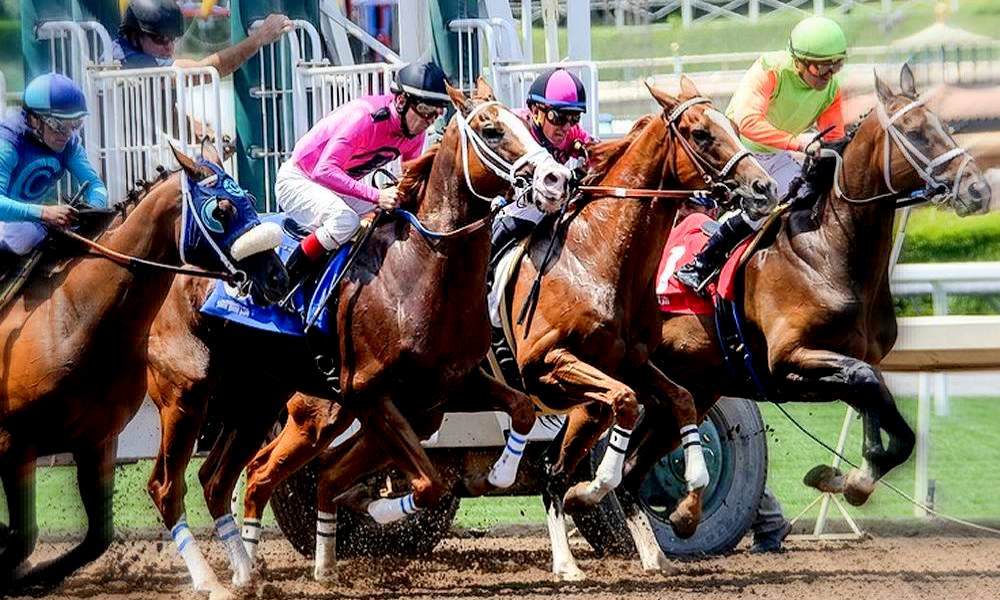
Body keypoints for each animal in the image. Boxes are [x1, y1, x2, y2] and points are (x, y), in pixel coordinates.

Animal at [0, 142, 288, 596]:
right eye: (221, 210)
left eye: (249, 200)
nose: (278, 276)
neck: (69, 318)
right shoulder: (14, 444)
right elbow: (22, 537)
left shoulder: (96, 441)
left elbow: (94, 538)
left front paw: (33, 578)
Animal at [145, 76, 576, 596]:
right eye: (491, 130)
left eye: (524, 123)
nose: (556, 179)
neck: (420, 269)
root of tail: (175, 272)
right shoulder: (369, 393)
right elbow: (428, 484)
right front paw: (381, 509)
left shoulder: (444, 391)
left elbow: (523, 408)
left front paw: (503, 470)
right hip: (188, 399)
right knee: (172, 486)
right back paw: (221, 576)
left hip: (259, 403)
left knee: (224, 478)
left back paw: (260, 569)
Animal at [612, 64, 988, 536]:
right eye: (915, 132)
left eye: (947, 127)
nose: (978, 191)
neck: (828, 252)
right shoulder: (788, 360)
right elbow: (869, 386)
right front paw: (853, 479)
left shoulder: (845, 362)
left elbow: (879, 406)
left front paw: (849, 478)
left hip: (693, 388)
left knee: (633, 466)